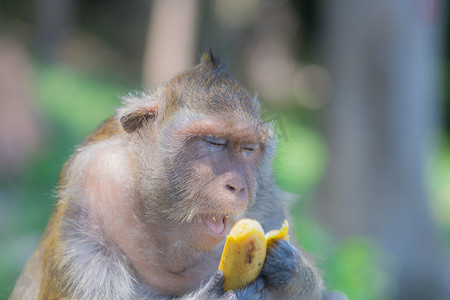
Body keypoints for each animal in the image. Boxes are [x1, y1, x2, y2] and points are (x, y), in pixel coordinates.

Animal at [9, 52, 348, 298]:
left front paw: (292, 270)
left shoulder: (267, 200)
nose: (238, 186)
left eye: (249, 149)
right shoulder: (91, 193)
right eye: (213, 143)